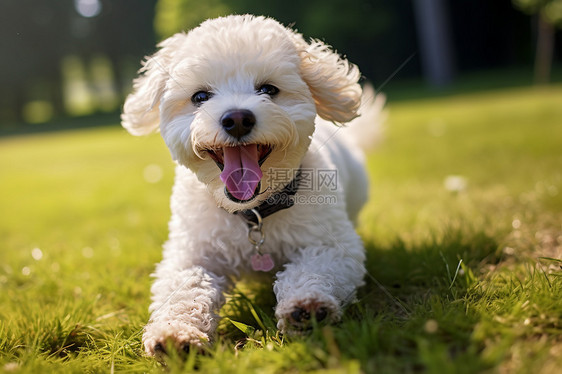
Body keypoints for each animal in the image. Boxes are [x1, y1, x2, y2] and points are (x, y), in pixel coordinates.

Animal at [120, 13, 382, 354]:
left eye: (268, 89)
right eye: (200, 97)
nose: (237, 119)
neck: (252, 212)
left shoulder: (334, 245)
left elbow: (315, 267)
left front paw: (307, 305)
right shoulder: (191, 252)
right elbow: (185, 285)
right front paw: (175, 332)